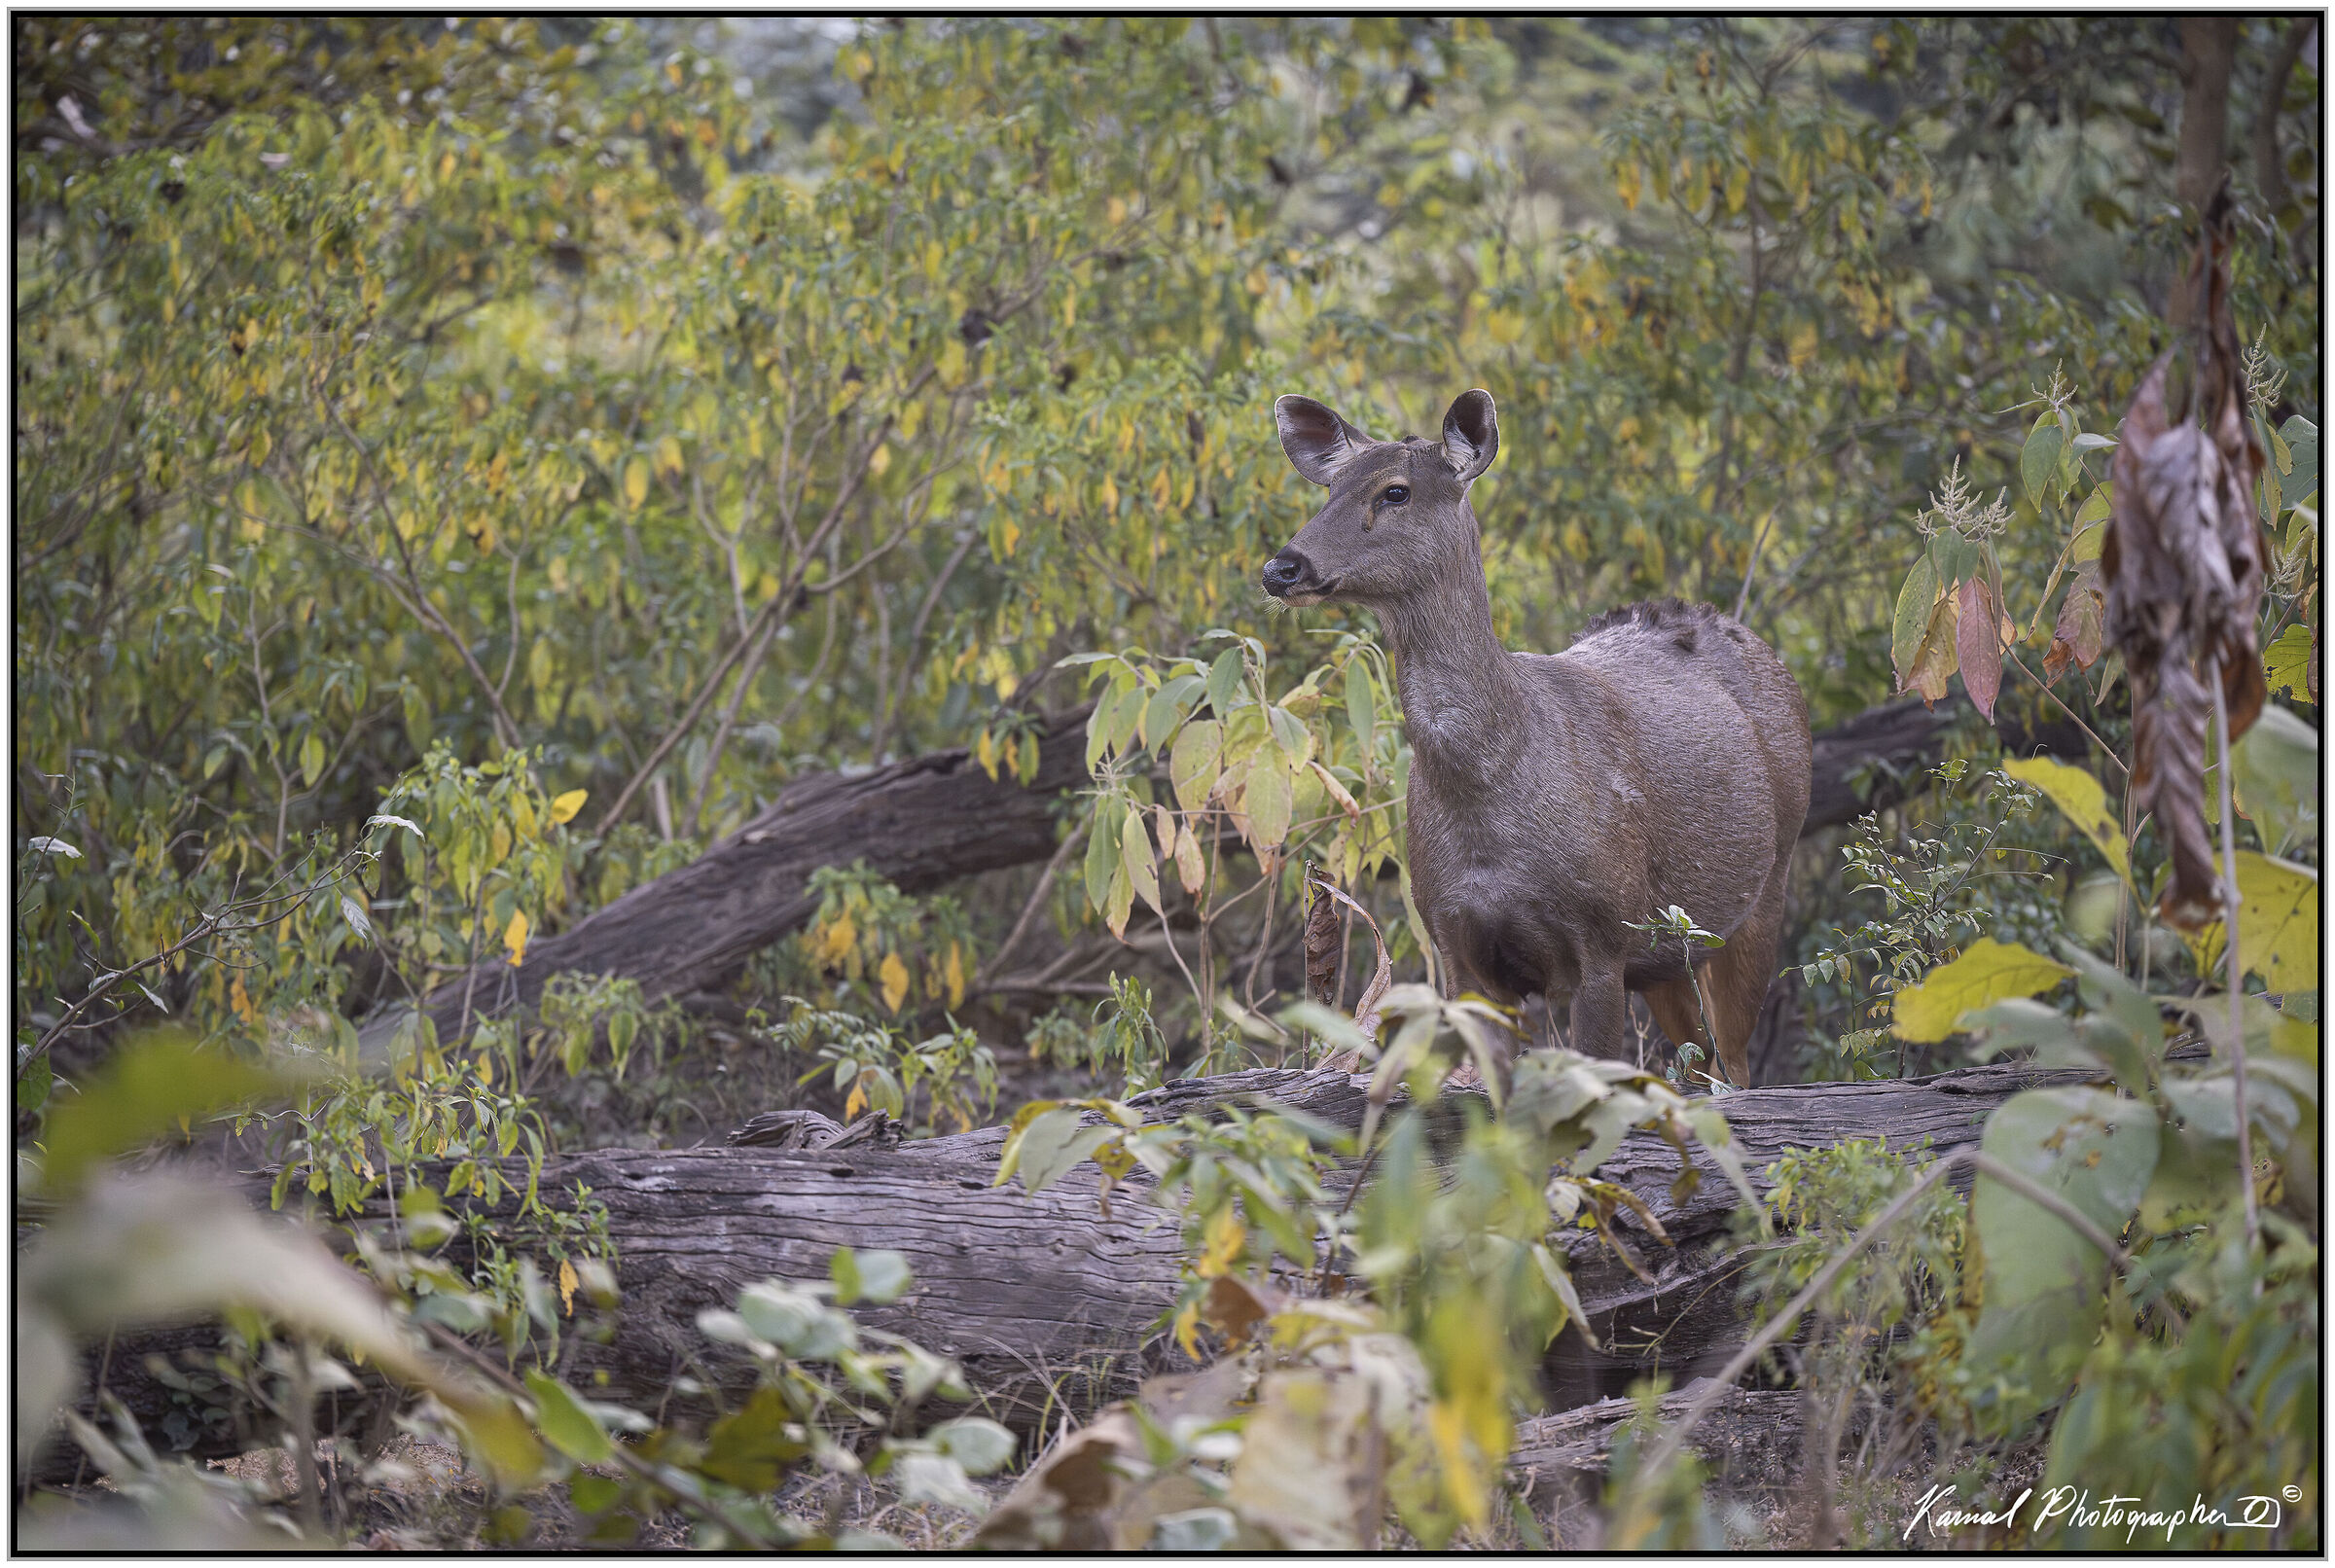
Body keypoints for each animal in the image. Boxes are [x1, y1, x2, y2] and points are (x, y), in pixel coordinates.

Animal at [1260, 389, 1812, 1087]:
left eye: (1395, 491)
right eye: (1329, 488)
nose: (1282, 567)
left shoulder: (1604, 936)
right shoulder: (1458, 948)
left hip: (1767, 887)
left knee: (1736, 1066)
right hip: (1667, 953)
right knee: (1700, 1061)